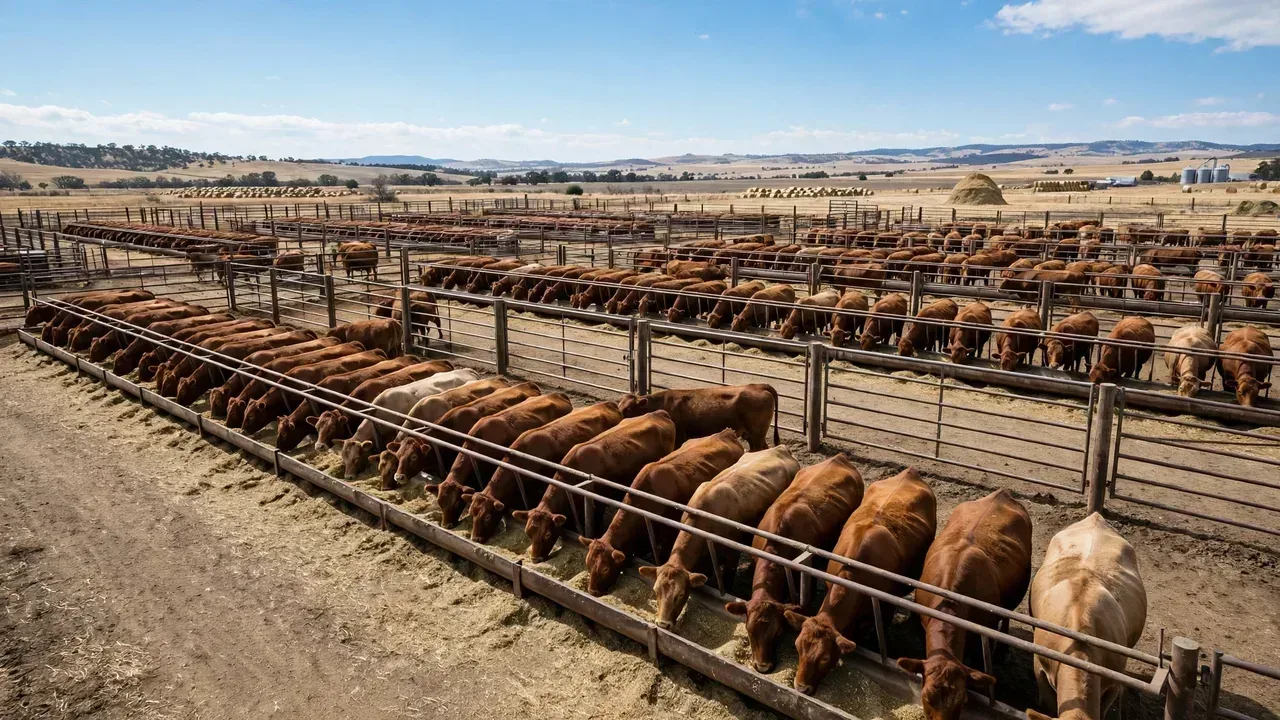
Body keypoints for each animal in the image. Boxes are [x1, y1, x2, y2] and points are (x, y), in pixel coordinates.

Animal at [618, 383, 778, 451]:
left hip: (757, 434)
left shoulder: (679, 436)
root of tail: (757, 385)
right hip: (751, 435)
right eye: (619, 405)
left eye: (629, 408)